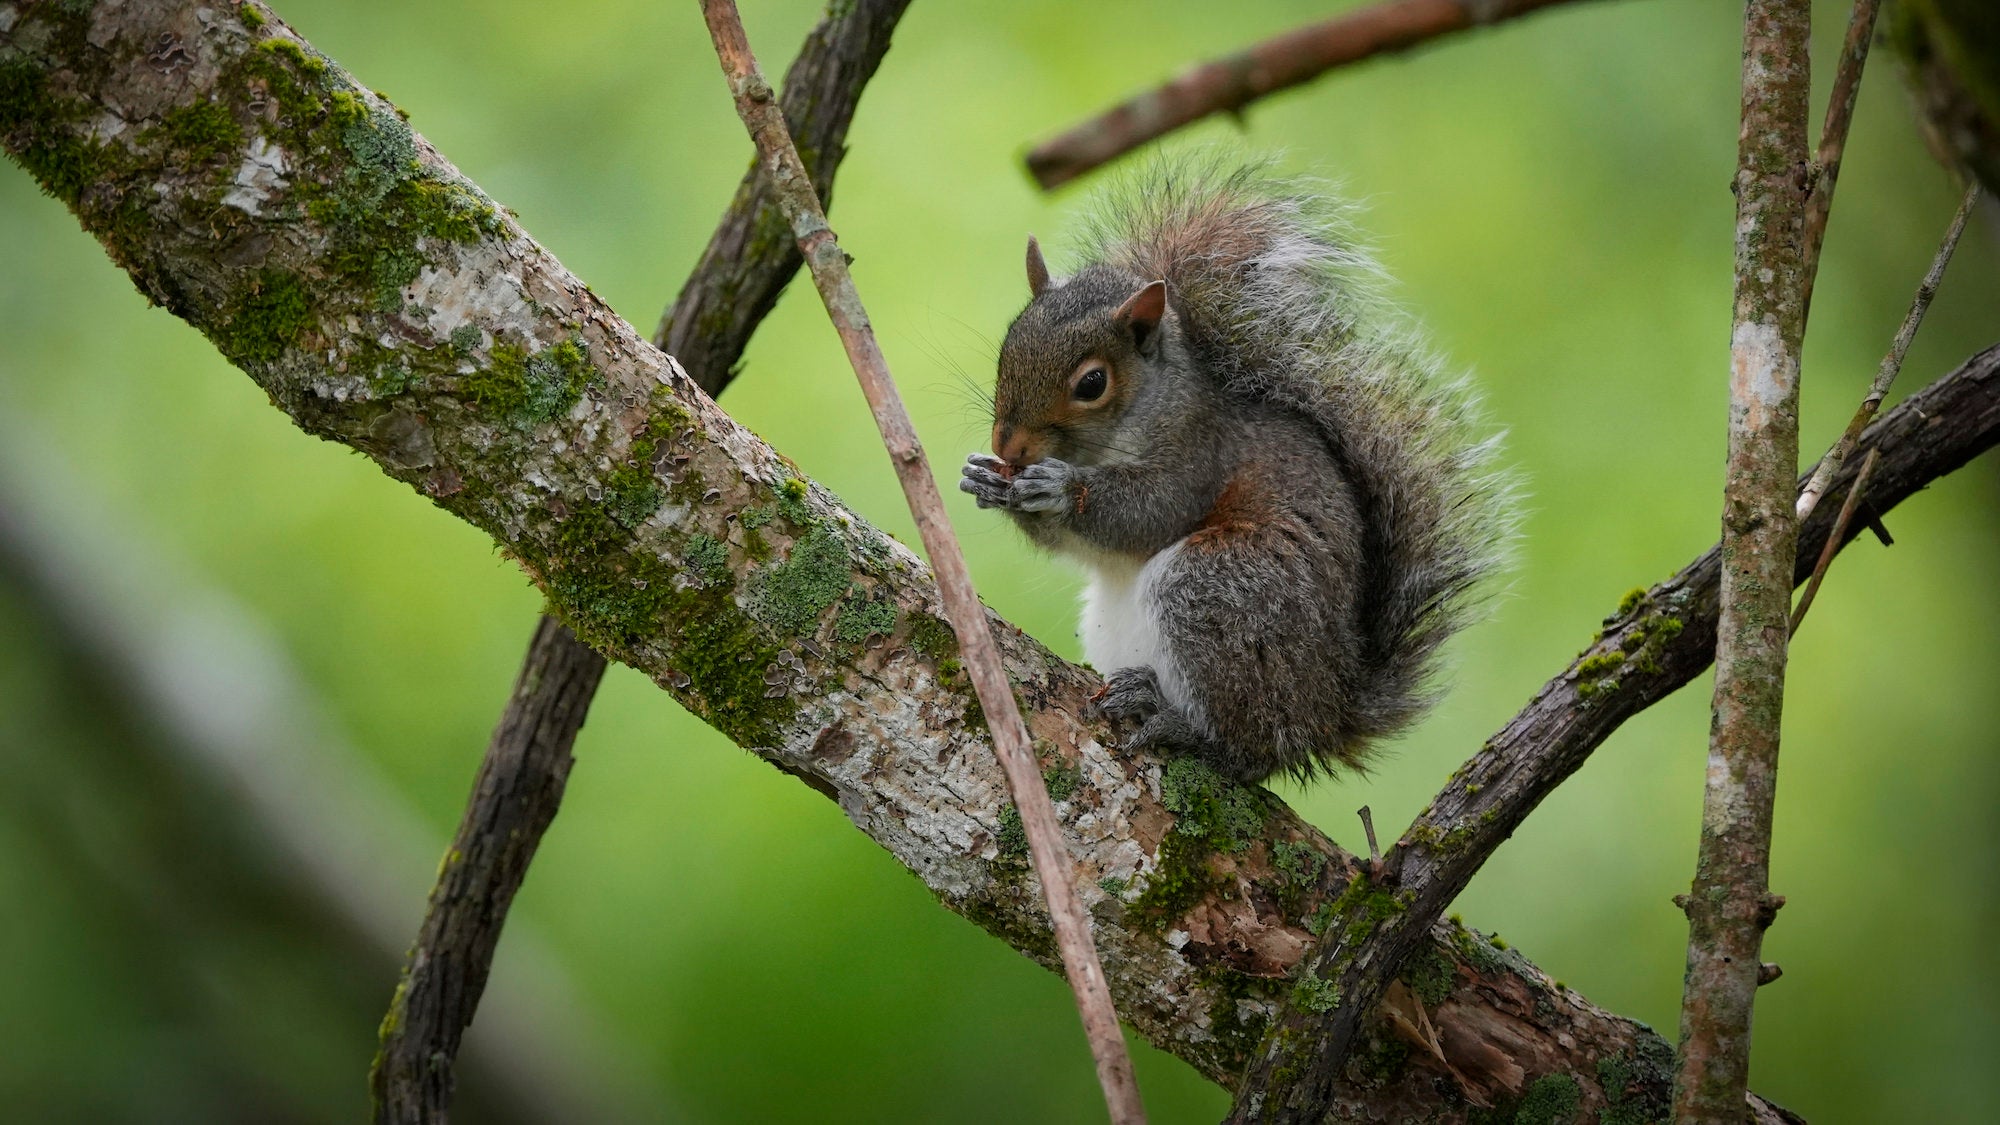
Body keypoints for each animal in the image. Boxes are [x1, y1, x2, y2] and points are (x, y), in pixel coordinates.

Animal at [960, 159, 1513, 784]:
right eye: (1008, 345)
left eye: (1092, 383)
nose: (1008, 446)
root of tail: (1325, 715)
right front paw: (984, 478)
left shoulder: (1199, 456)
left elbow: (1145, 515)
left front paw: (1059, 489)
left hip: (1219, 589)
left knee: (1247, 750)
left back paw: (1178, 722)